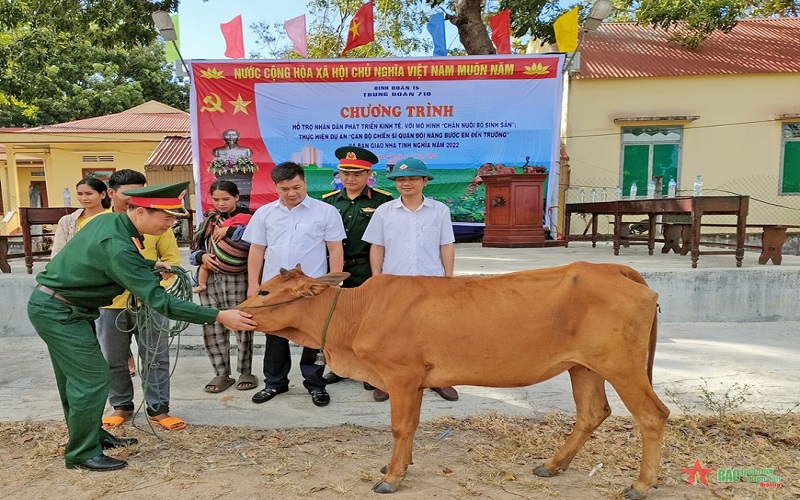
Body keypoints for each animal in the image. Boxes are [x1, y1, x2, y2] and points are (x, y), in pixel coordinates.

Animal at [238, 264, 668, 498]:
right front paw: (400, 465)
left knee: (652, 416)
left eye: (264, 290)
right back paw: (552, 465)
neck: (356, 313)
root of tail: (613, 269)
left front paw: (392, 478)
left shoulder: (400, 375)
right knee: (592, 412)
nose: (235, 312)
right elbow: (411, 427)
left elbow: (400, 426)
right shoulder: (414, 381)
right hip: (583, 367)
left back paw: (641, 485)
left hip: (622, 367)